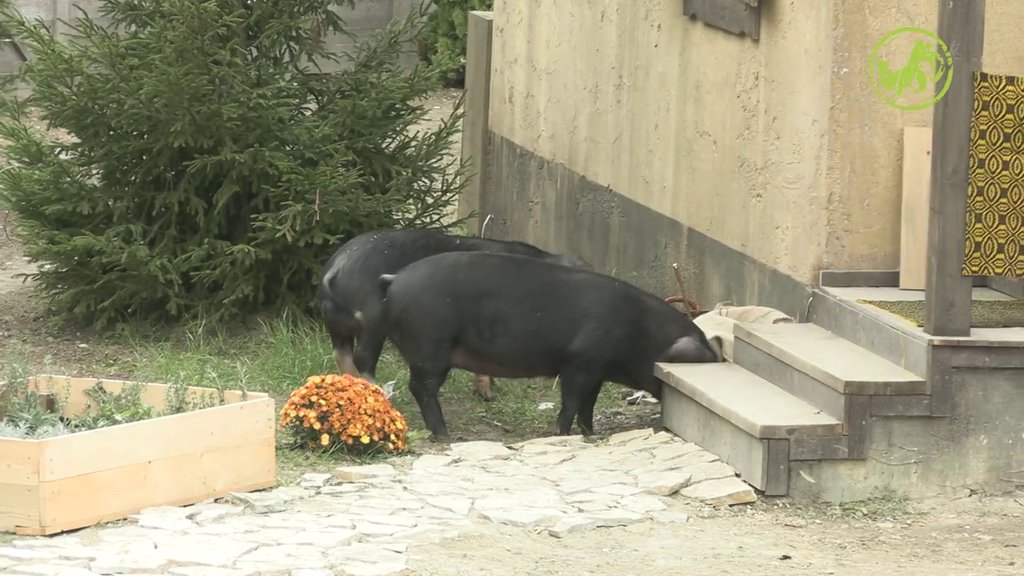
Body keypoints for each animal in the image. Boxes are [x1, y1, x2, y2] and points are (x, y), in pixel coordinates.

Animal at [313, 226, 593, 397]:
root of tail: (334, 271)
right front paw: (489, 394)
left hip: (336, 324)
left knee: (341, 354)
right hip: (372, 319)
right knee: (363, 358)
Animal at [376, 249, 720, 436]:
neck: (641, 333)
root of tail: (396, 279)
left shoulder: (596, 370)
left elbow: (588, 405)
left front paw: (590, 434)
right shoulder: (579, 363)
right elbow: (571, 401)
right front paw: (563, 433)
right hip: (430, 345)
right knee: (422, 388)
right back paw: (445, 435)